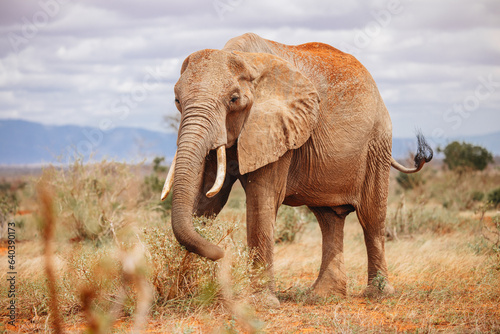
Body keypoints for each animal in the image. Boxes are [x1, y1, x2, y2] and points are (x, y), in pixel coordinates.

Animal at [160, 32, 430, 306]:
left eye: (234, 99)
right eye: (177, 100)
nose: (222, 252)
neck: (244, 59)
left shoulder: (280, 128)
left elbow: (262, 200)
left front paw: (260, 303)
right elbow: (207, 200)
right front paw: (186, 291)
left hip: (377, 143)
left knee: (371, 218)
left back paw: (378, 293)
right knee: (329, 218)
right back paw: (323, 295)